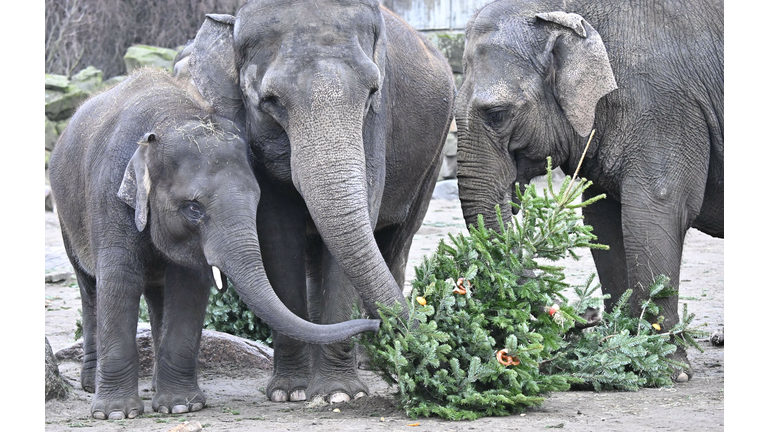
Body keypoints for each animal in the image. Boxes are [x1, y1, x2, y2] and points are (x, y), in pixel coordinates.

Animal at [47, 66, 378, 420]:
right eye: (194, 208)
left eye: (258, 199)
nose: (376, 322)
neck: (171, 118)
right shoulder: (109, 197)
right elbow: (121, 281)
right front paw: (115, 414)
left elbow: (188, 286)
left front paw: (180, 406)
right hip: (66, 219)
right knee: (90, 288)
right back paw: (90, 386)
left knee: (157, 295)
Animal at [182, 1, 456, 404]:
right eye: (270, 101)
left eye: (373, 91)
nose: (432, 348)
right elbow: (277, 233)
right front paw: (290, 392)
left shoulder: (376, 124)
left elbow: (359, 218)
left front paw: (339, 395)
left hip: (434, 158)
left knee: (396, 242)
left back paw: (371, 359)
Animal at [452, 0, 724, 380]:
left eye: (498, 114)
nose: (585, 318)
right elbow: (602, 220)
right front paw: (624, 353)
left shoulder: (665, 108)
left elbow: (654, 208)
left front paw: (666, 370)